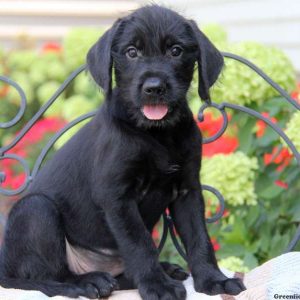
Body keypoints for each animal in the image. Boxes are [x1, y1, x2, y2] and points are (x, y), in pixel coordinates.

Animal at [0, 5, 245, 300]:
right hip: (35, 209)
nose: (154, 88)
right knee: (47, 277)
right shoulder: (117, 196)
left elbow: (200, 238)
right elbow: (140, 245)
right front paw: (158, 286)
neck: (157, 133)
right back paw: (87, 282)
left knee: (119, 276)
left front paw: (213, 279)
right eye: (131, 52)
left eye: (175, 51)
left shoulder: (187, 191)